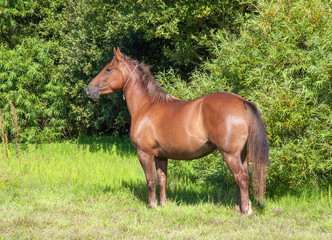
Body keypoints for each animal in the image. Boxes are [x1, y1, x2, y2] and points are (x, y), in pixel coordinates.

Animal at [87, 47, 268, 214]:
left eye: (108, 69)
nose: (89, 90)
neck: (146, 106)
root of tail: (242, 102)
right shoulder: (161, 156)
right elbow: (162, 180)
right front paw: (163, 204)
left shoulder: (144, 153)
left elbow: (150, 181)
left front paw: (152, 205)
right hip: (241, 155)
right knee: (243, 177)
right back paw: (239, 208)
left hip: (230, 154)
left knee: (241, 178)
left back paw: (246, 211)